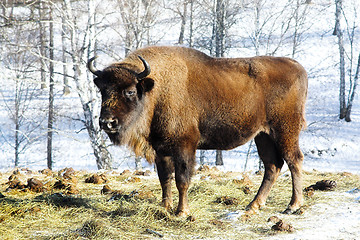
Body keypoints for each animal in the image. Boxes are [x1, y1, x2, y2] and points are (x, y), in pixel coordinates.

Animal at [87, 46, 306, 217]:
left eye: (130, 91)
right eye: (103, 91)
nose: (107, 122)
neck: (156, 89)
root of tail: (298, 67)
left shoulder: (184, 146)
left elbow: (182, 179)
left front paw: (182, 212)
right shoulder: (161, 149)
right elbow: (164, 178)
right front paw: (165, 207)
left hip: (285, 131)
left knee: (294, 160)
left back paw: (293, 206)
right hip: (263, 135)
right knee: (272, 166)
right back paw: (252, 206)